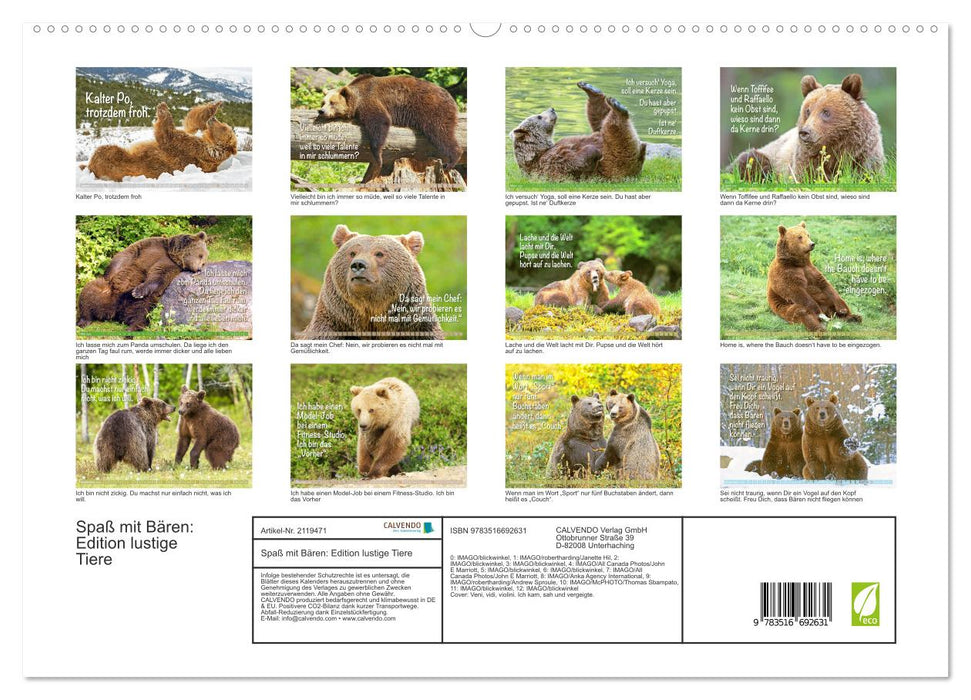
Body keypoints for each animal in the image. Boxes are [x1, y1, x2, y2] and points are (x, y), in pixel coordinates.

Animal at [76, 232, 210, 331]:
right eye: (200, 255)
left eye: (204, 260)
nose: (199, 269)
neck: (171, 254)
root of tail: (114, 311)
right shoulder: (149, 246)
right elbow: (124, 256)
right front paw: (109, 274)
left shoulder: (170, 266)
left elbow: (159, 275)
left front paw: (137, 291)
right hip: (105, 291)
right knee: (88, 292)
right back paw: (83, 321)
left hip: (142, 301)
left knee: (142, 313)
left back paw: (132, 328)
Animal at [84, 102, 238, 181]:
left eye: (224, 127)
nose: (213, 119)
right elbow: (189, 126)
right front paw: (214, 105)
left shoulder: (191, 149)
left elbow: (168, 136)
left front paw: (162, 108)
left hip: (123, 162)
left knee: (106, 151)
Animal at [316, 74, 463, 184]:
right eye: (323, 102)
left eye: (332, 102)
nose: (321, 111)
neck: (357, 98)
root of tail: (451, 97)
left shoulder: (370, 100)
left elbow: (379, 122)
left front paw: (378, 157)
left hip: (433, 109)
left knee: (440, 132)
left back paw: (451, 161)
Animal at [509, 81, 648, 181]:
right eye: (539, 116)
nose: (552, 109)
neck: (539, 151)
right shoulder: (548, 162)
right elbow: (573, 162)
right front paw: (594, 150)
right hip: (616, 161)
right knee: (615, 131)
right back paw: (618, 108)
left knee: (599, 121)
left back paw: (592, 90)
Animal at [731, 74, 885, 182]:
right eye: (808, 110)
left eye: (826, 112)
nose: (805, 132)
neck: (836, 147)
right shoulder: (805, 158)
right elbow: (806, 176)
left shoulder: (863, 155)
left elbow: (866, 174)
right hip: (770, 155)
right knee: (751, 161)